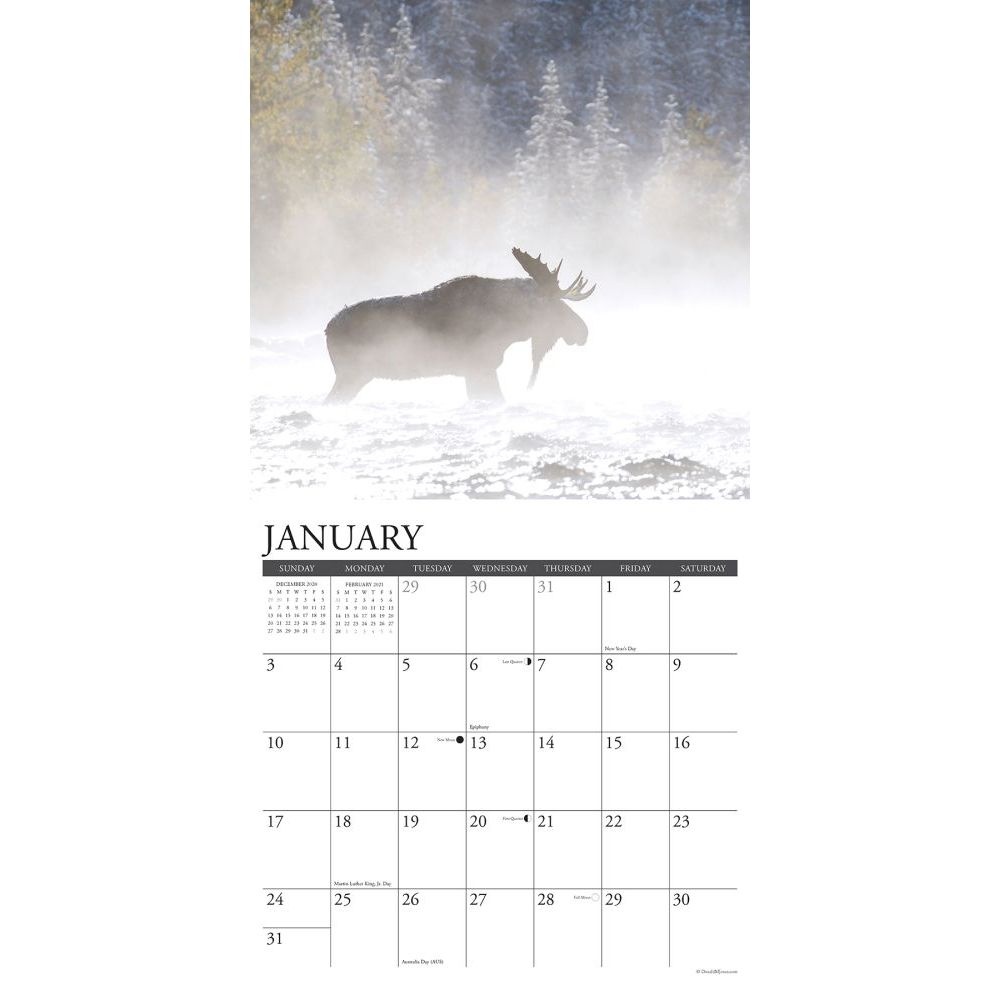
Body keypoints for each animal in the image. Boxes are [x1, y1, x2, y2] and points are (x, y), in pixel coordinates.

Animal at [323, 248, 596, 403]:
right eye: (553, 306)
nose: (583, 331)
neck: (509, 325)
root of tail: (327, 330)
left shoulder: (476, 370)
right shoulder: (479, 367)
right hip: (351, 374)